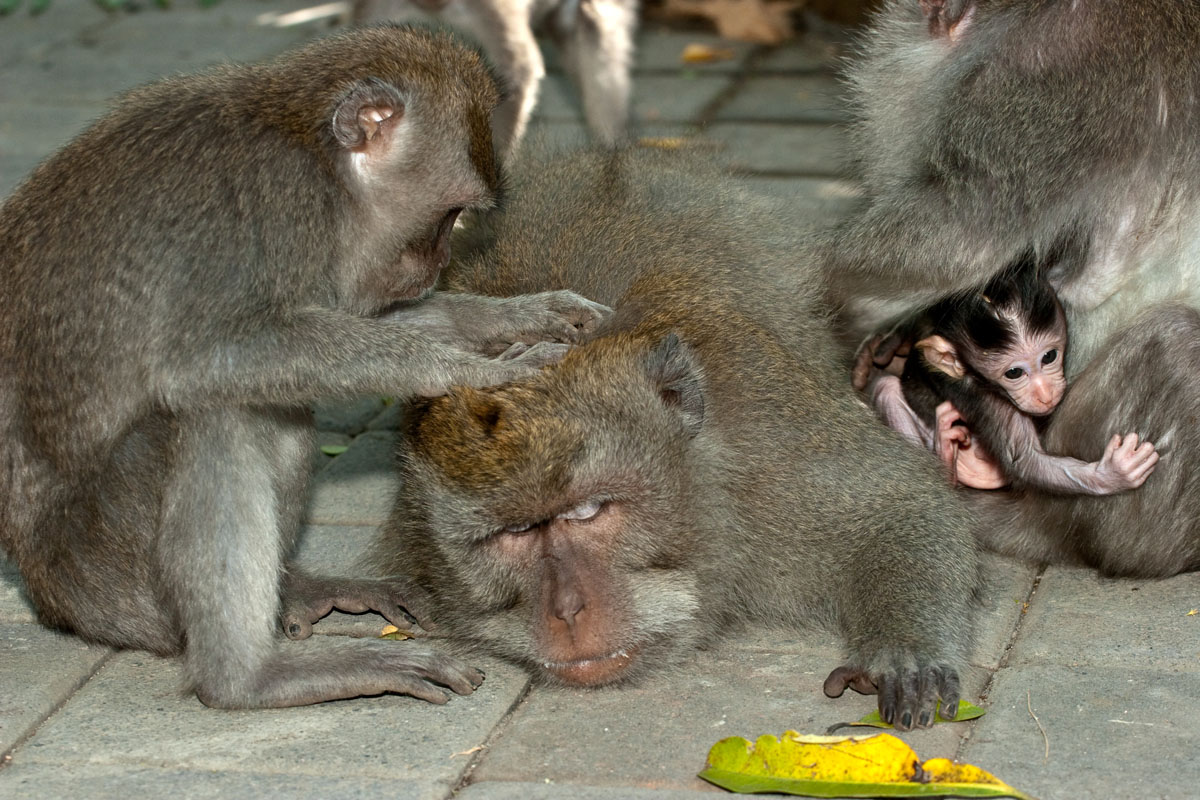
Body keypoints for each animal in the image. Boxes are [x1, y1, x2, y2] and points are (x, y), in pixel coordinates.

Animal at [873, 263, 1161, 494]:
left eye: (1049, 356)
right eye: (1014, 373)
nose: (1045, 395)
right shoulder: (985, 399)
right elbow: (1024, 460)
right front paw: (1113, 474)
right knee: (886, 388)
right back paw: (946, 454)